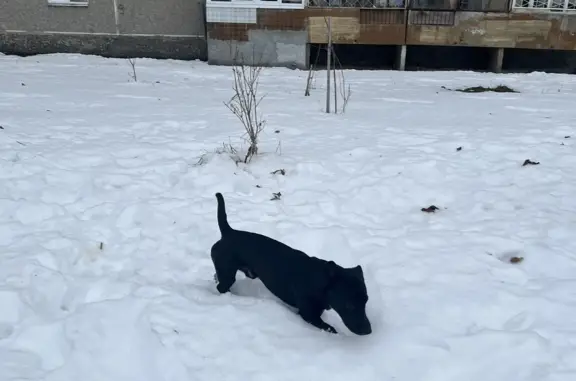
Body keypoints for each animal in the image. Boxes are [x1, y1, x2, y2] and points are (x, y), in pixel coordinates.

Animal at [209, 191, 372, 334]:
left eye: (366, 301)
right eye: (349, 305)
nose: (368, 331)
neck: (320, 281)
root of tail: (228, 232)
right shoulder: (308, 315)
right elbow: (330, 328)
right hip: (227, 274)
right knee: (221, 287)